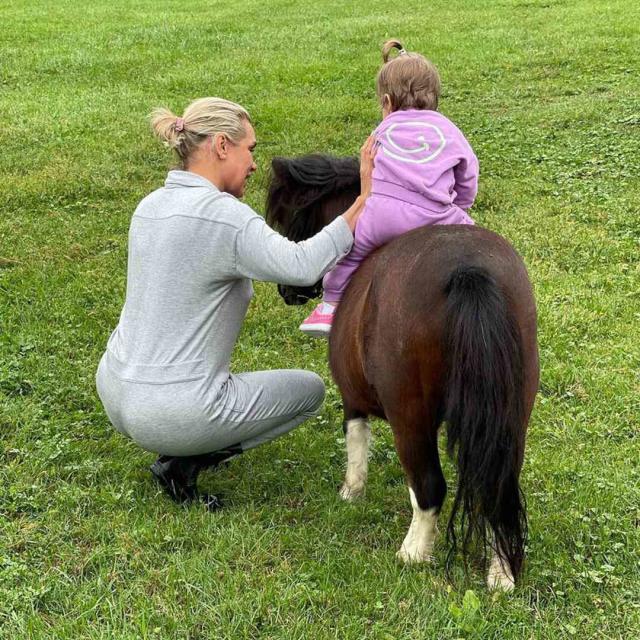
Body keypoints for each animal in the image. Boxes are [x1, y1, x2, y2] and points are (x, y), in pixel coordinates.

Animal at [266, 152, 540, 588]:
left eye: (286, 214)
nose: (287, 291)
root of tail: (468, 271)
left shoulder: (353, 396)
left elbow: (356, 439)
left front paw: (351, 492)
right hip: (512, 413)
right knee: (497, 485)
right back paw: (501, 575)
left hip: (409, 414)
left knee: (429, 486)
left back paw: (412, 553)